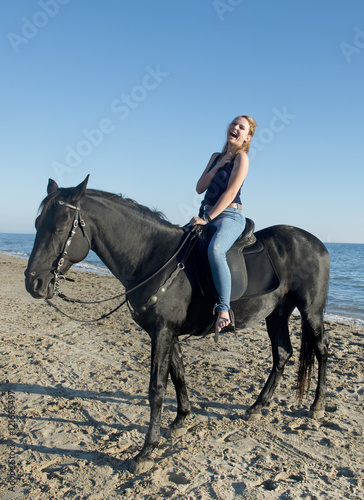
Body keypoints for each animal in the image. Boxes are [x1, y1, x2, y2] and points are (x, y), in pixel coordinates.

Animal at [23, 177, 330, 472]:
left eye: (59, 227)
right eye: (37, 225)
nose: (33, 283)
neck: (153, 258)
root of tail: (316, 242)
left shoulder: (162, 332)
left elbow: (156, 388)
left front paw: (147, 449)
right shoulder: (167, 333)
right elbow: (178, 374)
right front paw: (181, 419)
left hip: (311, 311)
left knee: (322, 350)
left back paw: (317, 406)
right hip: (276, 313)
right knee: (282, 354)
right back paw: (257, 406)